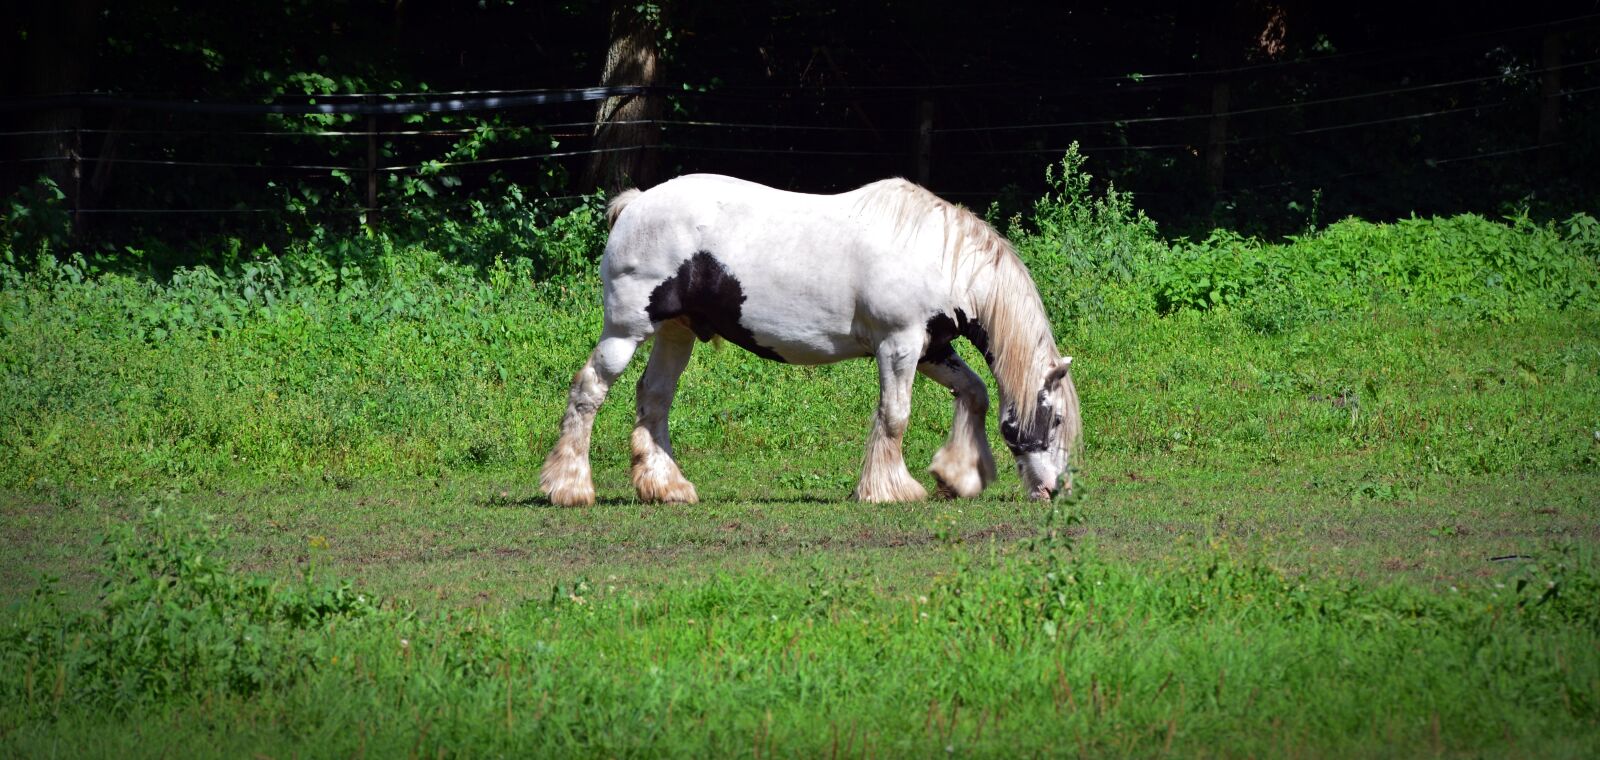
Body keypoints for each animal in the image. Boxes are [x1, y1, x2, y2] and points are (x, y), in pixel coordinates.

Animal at [540, 174, 1081, 506]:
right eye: (1054, 419)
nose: (1054, 490)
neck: (938, 255)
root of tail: (634, 204)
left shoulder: (932, 348)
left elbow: (975, 392)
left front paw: (958, 475)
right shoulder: (899, 345)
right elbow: (895, 415)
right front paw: (889, 489)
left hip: (676, 333)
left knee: (654, 398)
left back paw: (666, 486)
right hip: (626, 331)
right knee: (589, 391)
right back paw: (569, 487)